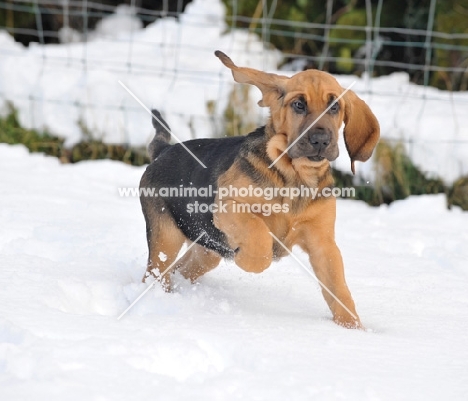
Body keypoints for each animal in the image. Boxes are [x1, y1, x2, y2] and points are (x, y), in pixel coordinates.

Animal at [137, 50, 378, 328]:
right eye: (299, 105)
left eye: (335, 107)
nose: (321, 141)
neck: (295, 177)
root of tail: (163, 150)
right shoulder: (231, 207)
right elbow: (259, 239)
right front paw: (246, 259)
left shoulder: (323, 243)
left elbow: (339, 290)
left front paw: (353, 329)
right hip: (166, 236)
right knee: (156, 274)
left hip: (206, 251)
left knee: (180, 270)